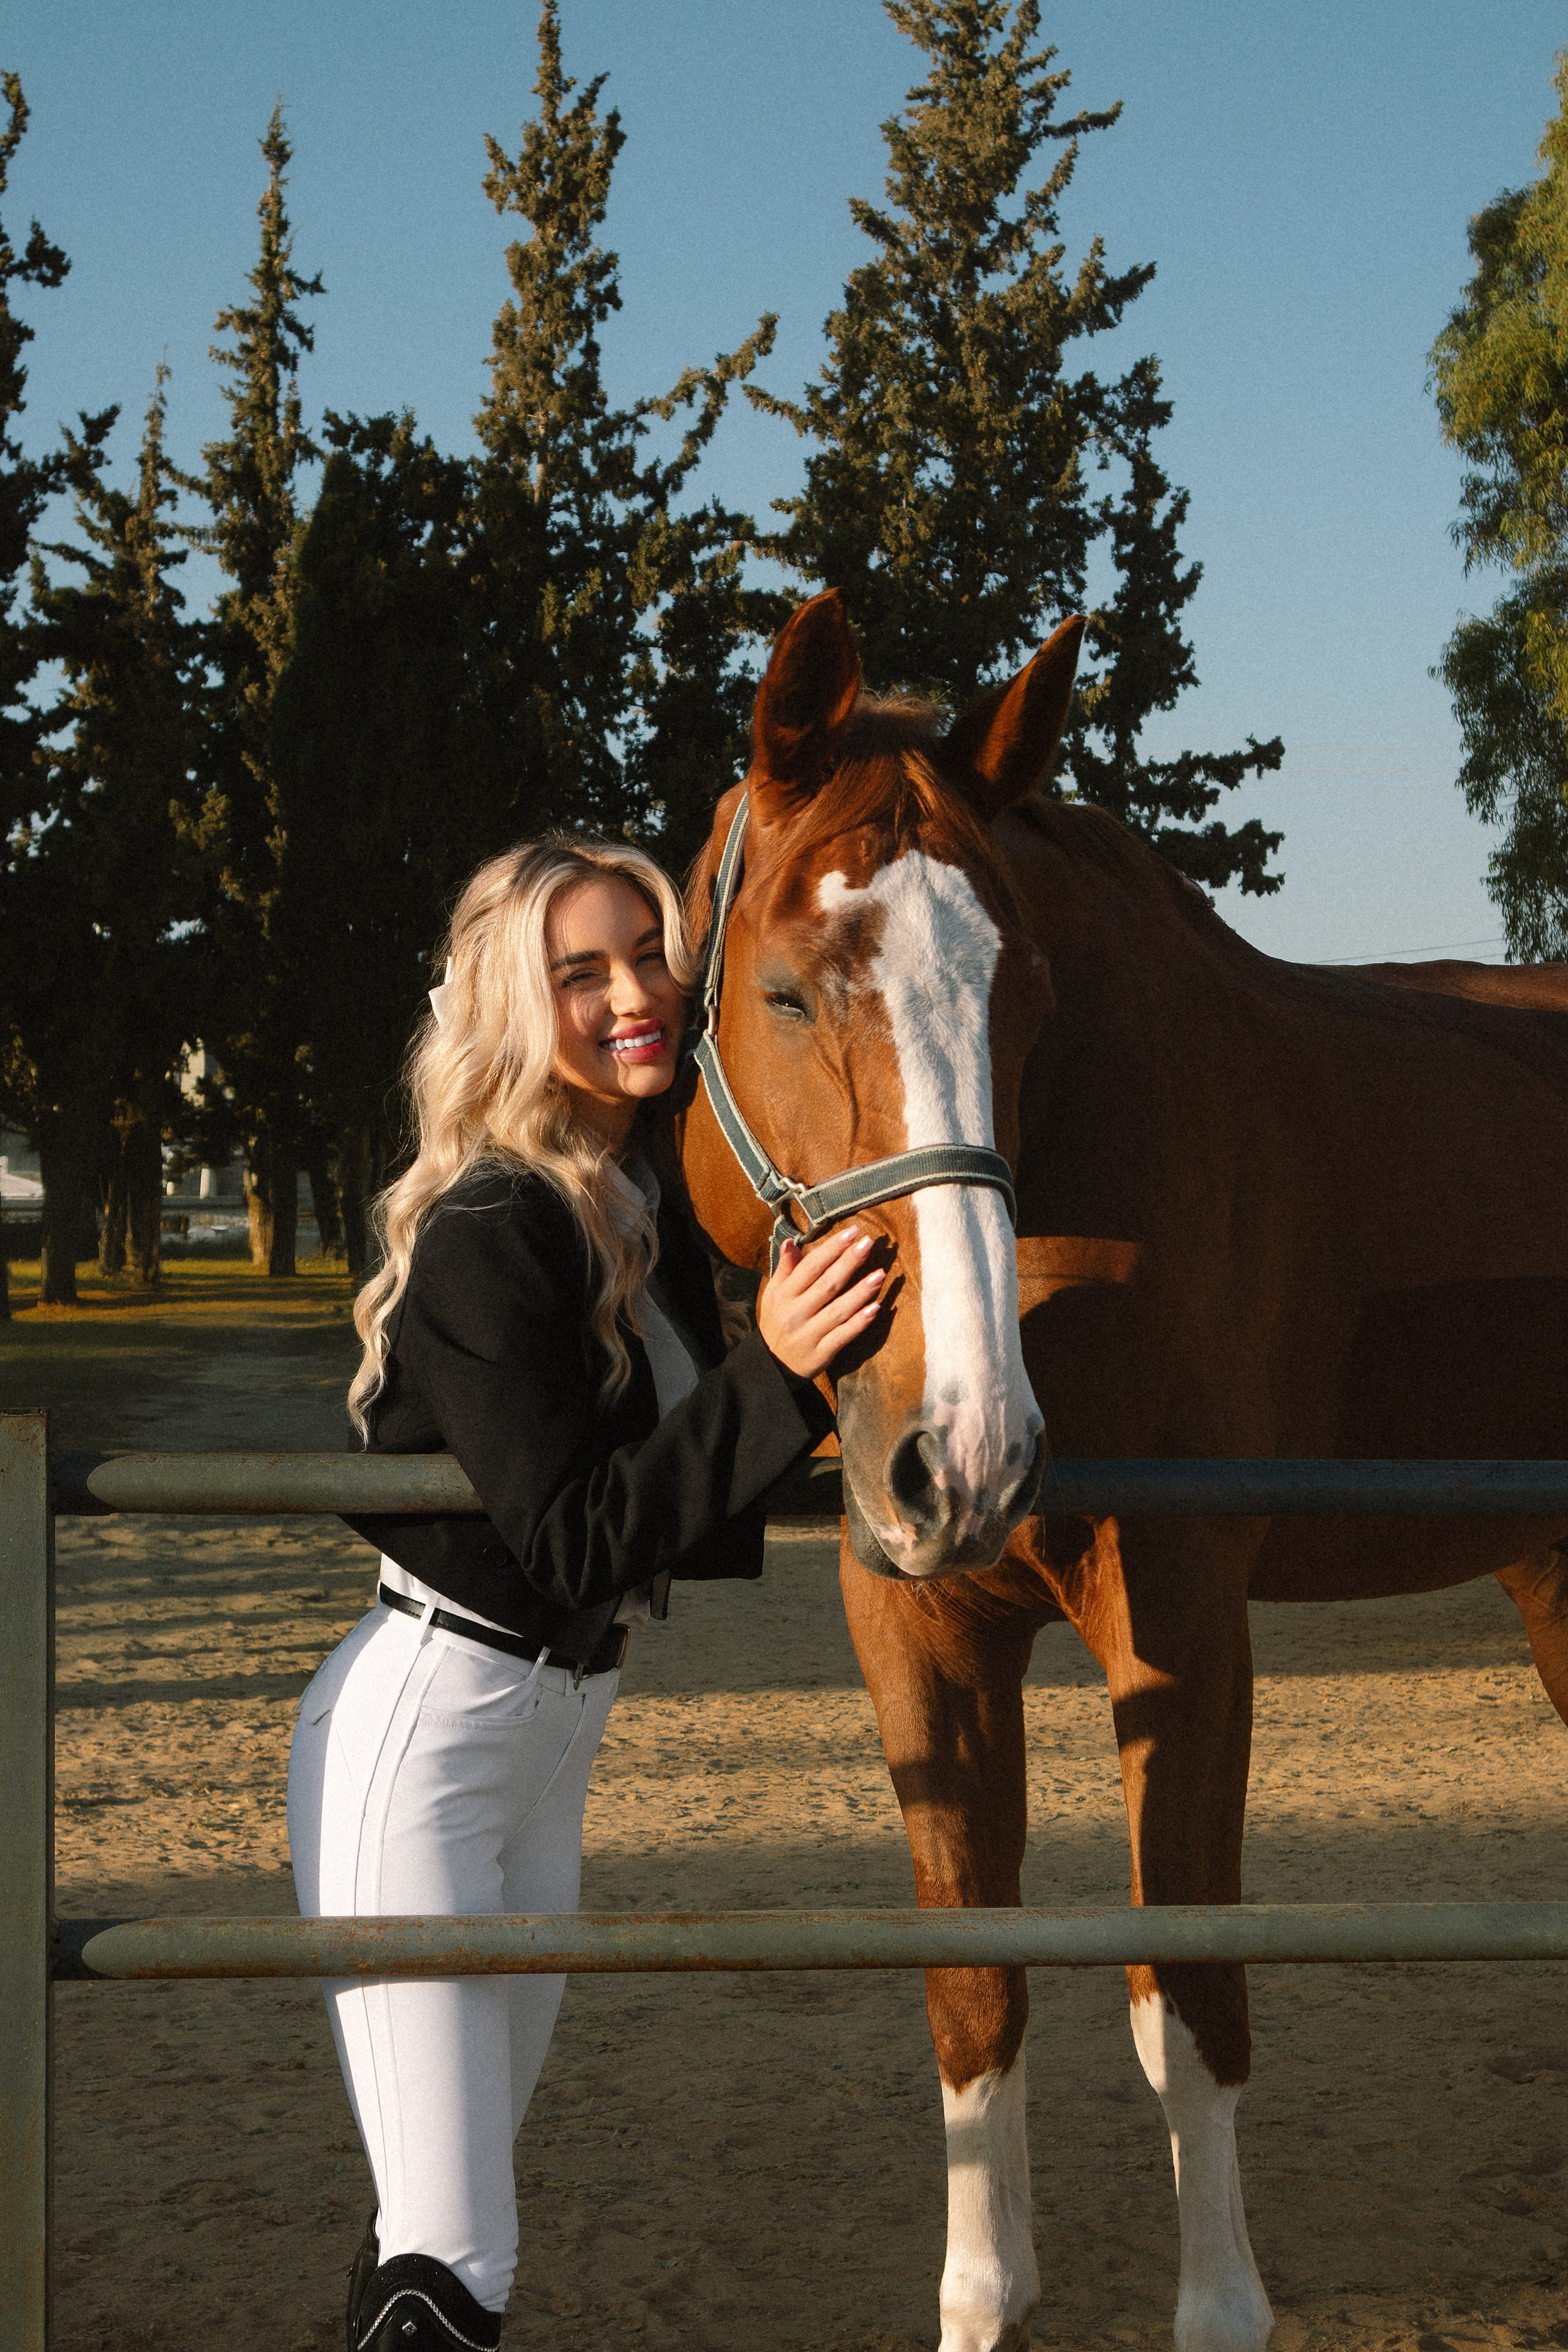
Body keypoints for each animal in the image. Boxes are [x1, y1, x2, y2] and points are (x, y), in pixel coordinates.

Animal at [669, 588, 1568, 2352]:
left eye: (1026, 1000)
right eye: (790, 992)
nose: (965, 1449)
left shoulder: (1184, 1632)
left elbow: (1186, 1988)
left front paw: (1219, 2302)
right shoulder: (918, 1635)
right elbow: (975, 1986)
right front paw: (986, 2291)